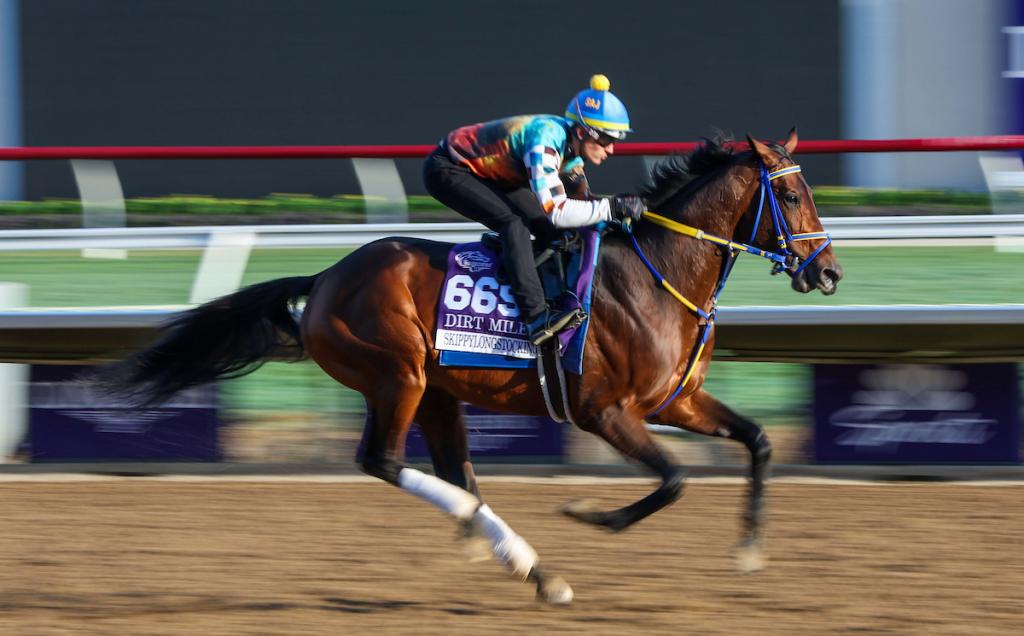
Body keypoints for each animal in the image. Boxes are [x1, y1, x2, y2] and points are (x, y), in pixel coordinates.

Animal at [96, 129, 842, 605]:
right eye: (793, 196)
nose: (829, 272)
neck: (657, 271)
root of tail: (328, 276)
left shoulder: (675, 401)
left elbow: (759, 440)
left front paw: (749, 550)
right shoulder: (605, 411)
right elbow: (676, 481)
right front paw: (591, 514)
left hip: (438, 392)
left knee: (454, 470)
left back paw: (530, 566)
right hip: (397, 376)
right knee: (386, 461)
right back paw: (507, 546)